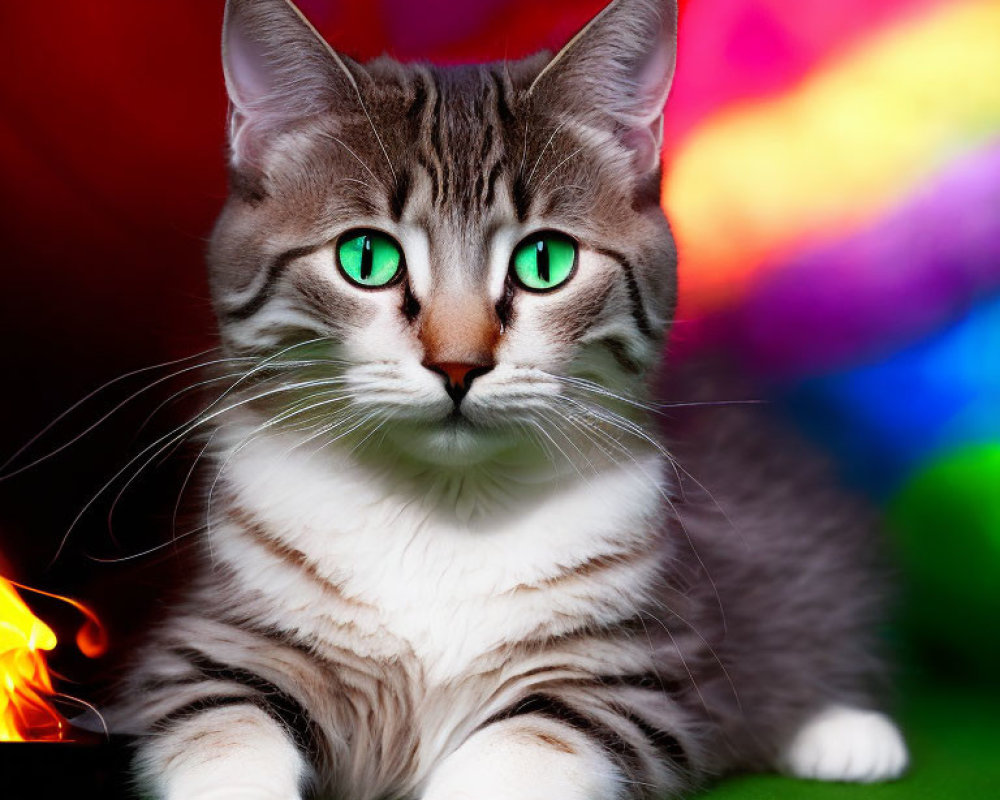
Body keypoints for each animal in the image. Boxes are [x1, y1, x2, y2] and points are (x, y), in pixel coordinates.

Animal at [113, 0, 912, 796]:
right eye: (366, 257)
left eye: (545, 261)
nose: (458, 364)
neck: (439, 508)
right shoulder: (210, 643)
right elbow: (221, 729)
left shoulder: (633, 674)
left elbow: (523, 749)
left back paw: (847, 734)